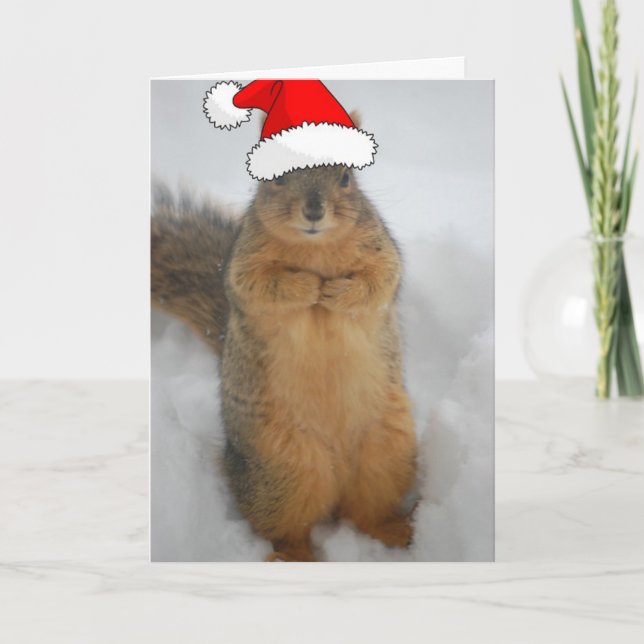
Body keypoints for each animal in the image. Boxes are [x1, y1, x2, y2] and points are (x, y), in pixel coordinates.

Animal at [152, 146, 417, 562]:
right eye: (275, 176)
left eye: (346, 177)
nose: (314, 210)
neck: (315, 247)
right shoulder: (244, 264)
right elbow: (260, 286)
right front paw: (308, 286)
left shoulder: (380, 249)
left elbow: (378, 281)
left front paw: (336, 292)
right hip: (282, 470)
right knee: (286, 527)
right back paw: (292, 555)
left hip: (387, 452)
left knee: (367, 511)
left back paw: (395, 531)